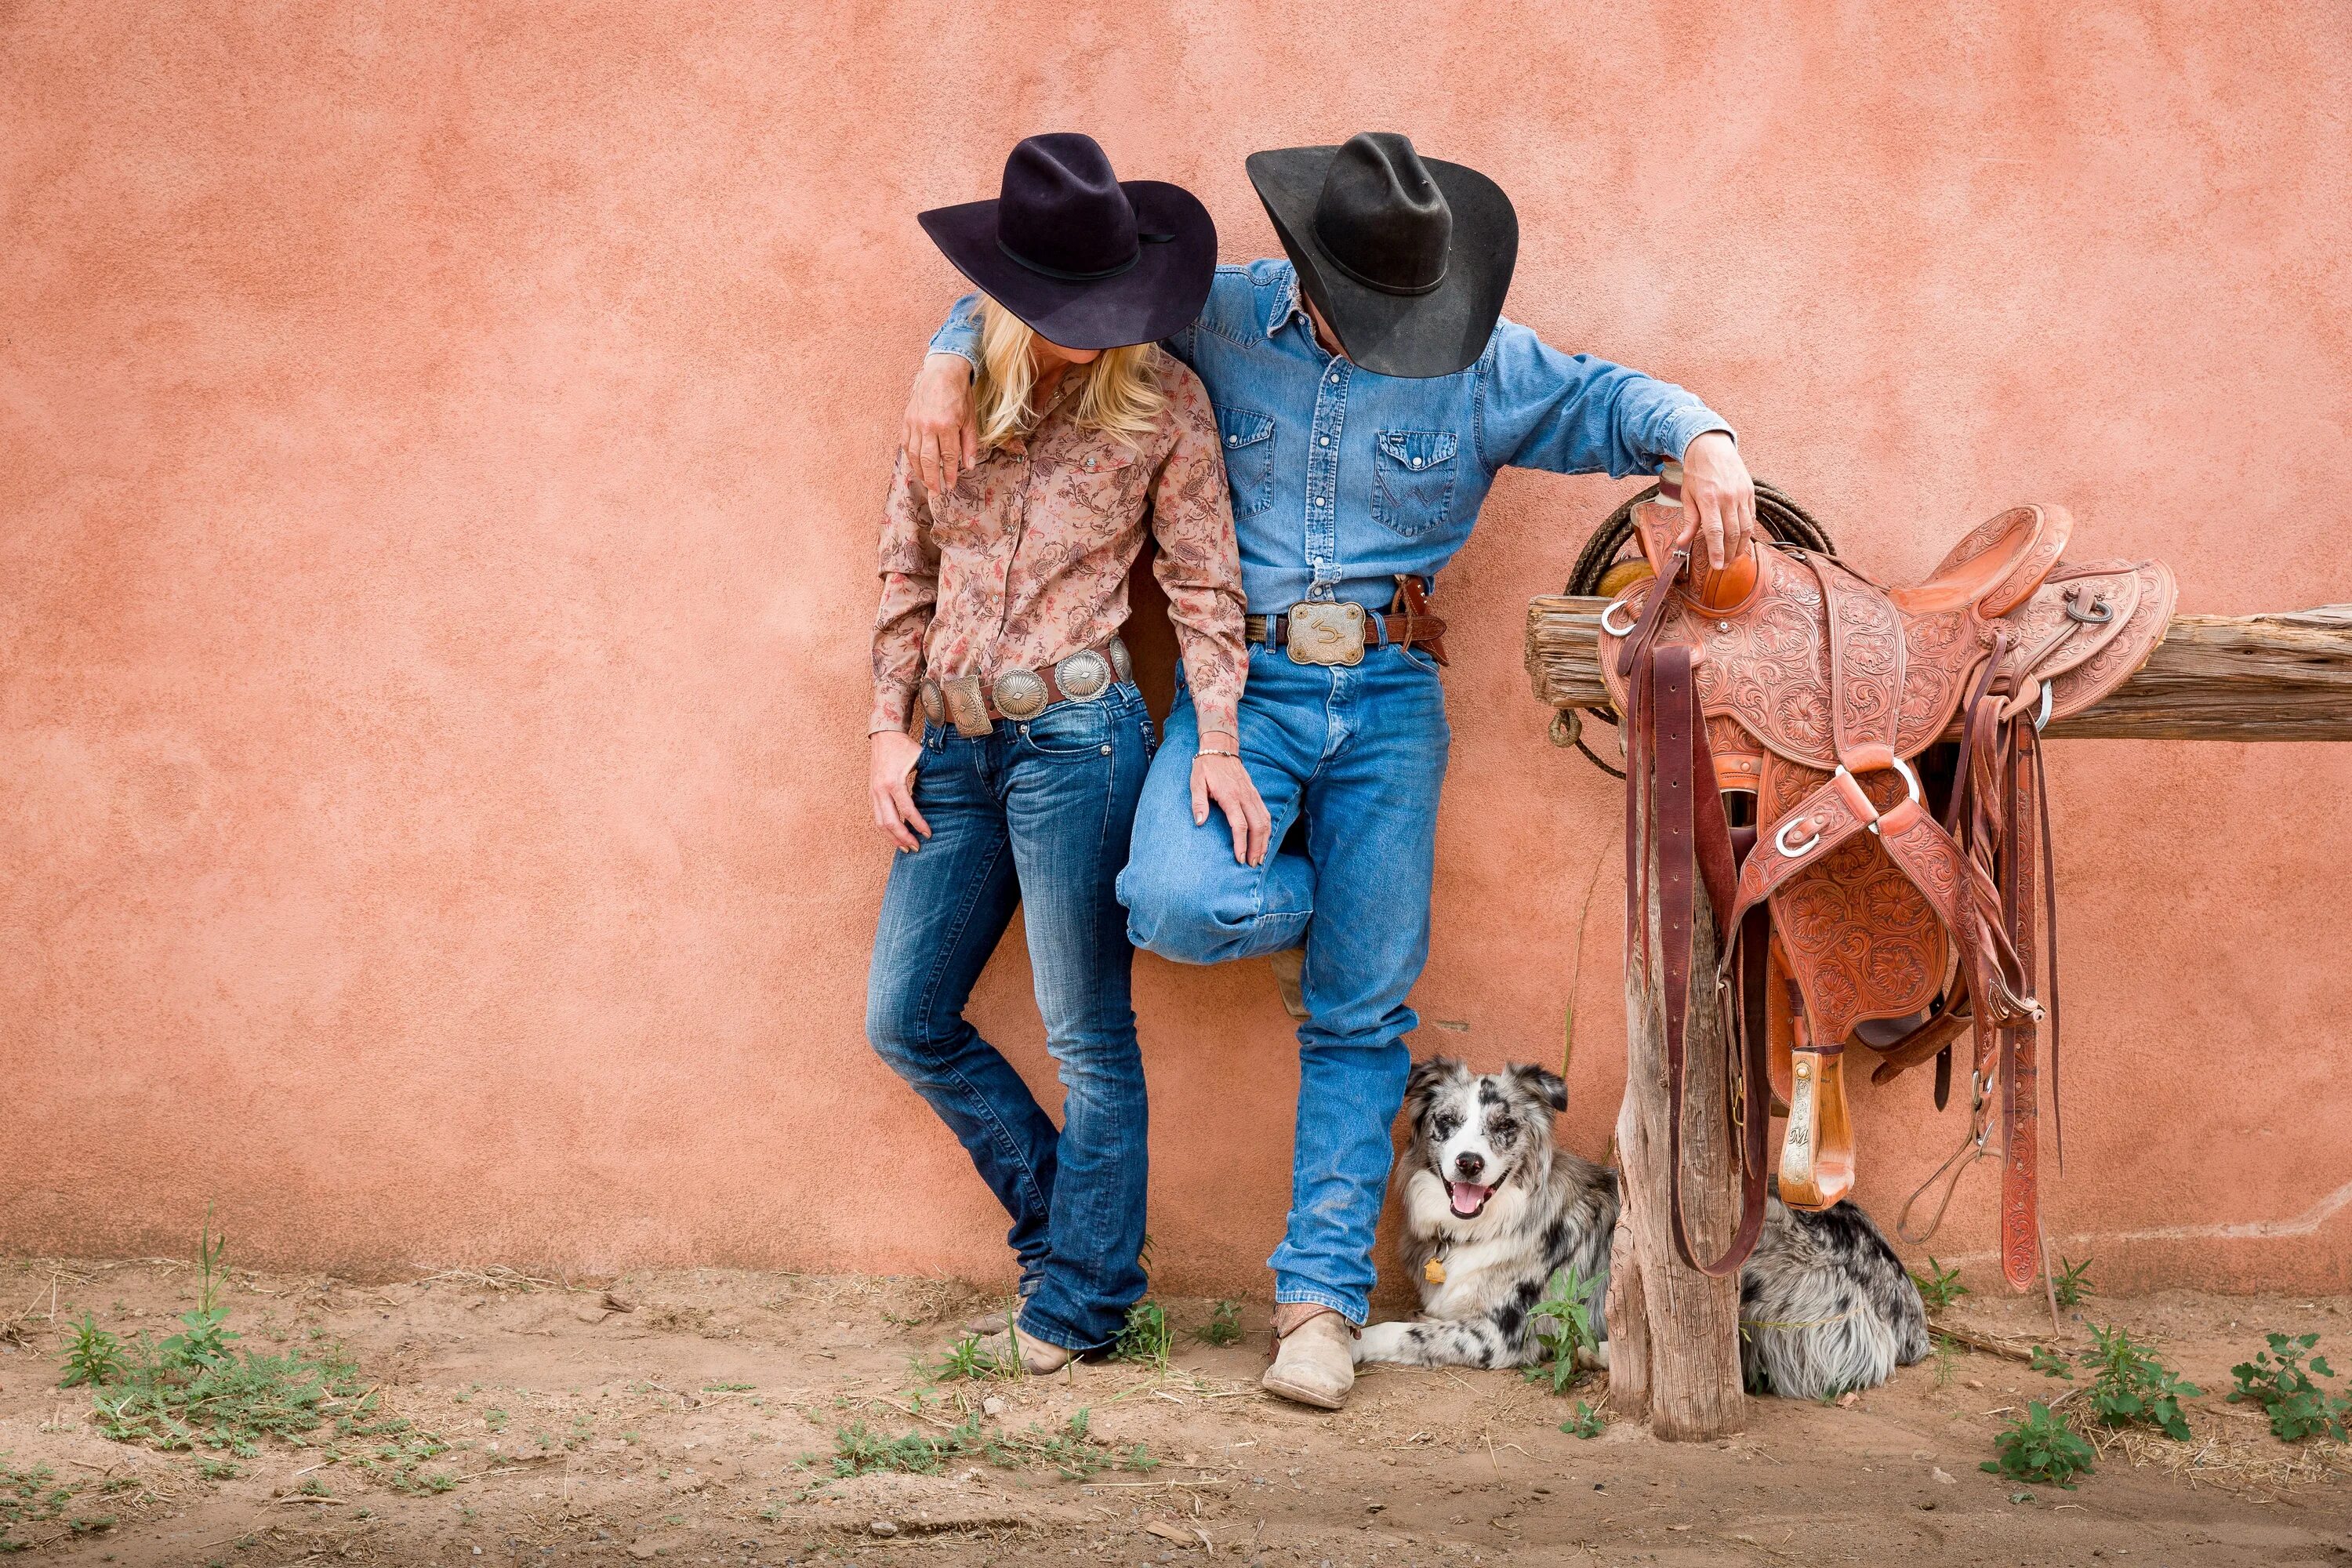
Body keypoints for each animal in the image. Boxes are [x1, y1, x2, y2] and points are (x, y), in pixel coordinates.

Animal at [1364, 1053, 1929, 1401]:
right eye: (1447, 1123)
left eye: (1503, 1127)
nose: (1468, 1163)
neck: (1483, 1223)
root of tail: (1904, 1304)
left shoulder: (1502, 1333)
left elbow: (1402, 1331)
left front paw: (1357, 1342)